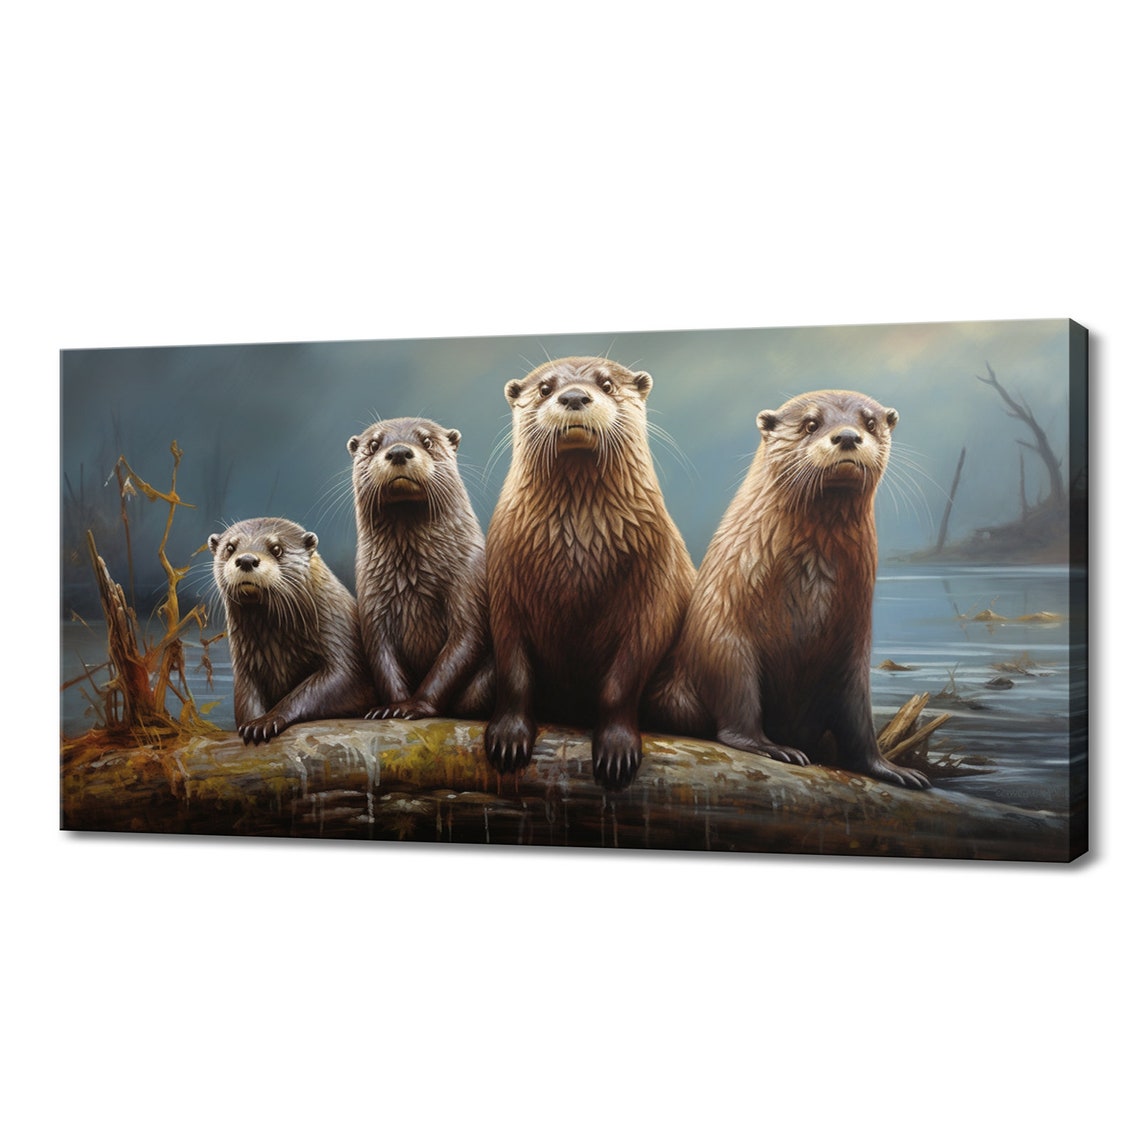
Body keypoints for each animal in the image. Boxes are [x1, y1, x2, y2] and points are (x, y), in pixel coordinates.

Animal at [209, 517, 377, 744]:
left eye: (277, 549)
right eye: (230, 547)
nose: (246, 559)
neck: (278, 646)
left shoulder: (342, 642)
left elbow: (334, 682)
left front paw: (264, 722)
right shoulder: (245, 667)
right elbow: (247, 698)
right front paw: (251, 724)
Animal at [348, 416, 493, 720]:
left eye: (427, 441)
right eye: (374, 444)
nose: (399, 452)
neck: (412, 578)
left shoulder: (470, 581)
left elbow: (463, 644)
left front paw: (415, 706)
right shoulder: (372, 602)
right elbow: (382, 659)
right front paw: (390, 707)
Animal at [484, 356, 695, 790]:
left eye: (607, 384)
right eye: (545, 388)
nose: (574, 396)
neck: (577, 561)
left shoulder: (654, 594)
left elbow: (622, 681)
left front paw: (616, 750)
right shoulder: (504, 591)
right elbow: (514, 673)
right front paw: (508, 739)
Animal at [648, 389, 929, 789]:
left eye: (871, 422)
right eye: (811, 423)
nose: (847, 436)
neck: (808, 591)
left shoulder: (853, 642)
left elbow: (858, 720)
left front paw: (889, 768)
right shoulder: (723, 626)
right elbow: (737, 694)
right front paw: (768, 746)